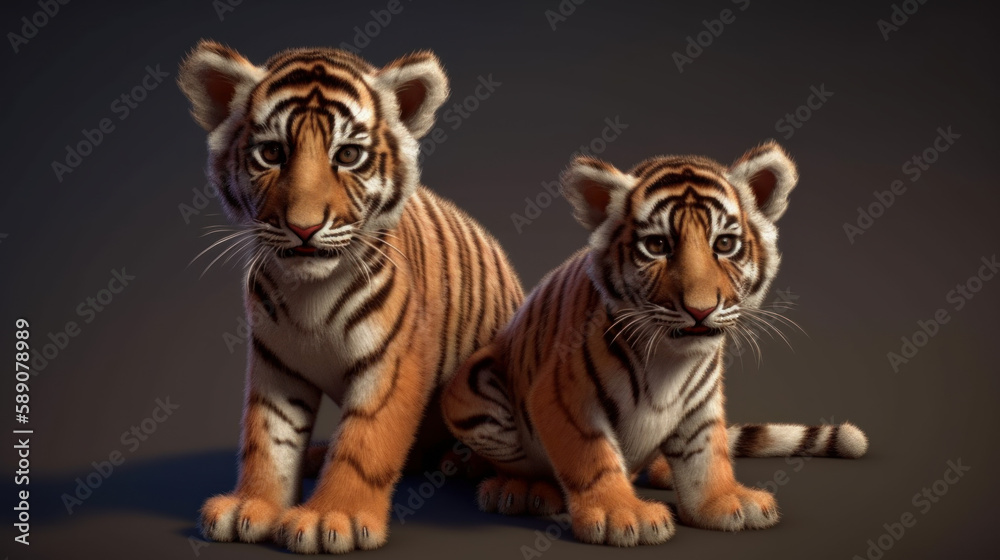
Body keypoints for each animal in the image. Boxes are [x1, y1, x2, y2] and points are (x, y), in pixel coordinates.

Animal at [177, 41, 523, 554]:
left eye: (349, 154)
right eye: (271, 152)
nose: (303, 227)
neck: (310, 291)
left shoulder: (392, 363)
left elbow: (364, 441)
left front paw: (330, 518)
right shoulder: (275, 364)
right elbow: (269, 438)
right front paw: (250, 507)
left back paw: (511, 487)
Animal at [441, 142, 868, 546]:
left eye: (724, 244)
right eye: (658, 245)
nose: (700, 310)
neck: (670, 360)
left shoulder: (701, 404)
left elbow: (705, 454)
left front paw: (724, 502)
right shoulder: (562, 396)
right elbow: (593, 456)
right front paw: (621, 516)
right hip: (472, 387)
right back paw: (523, 489)